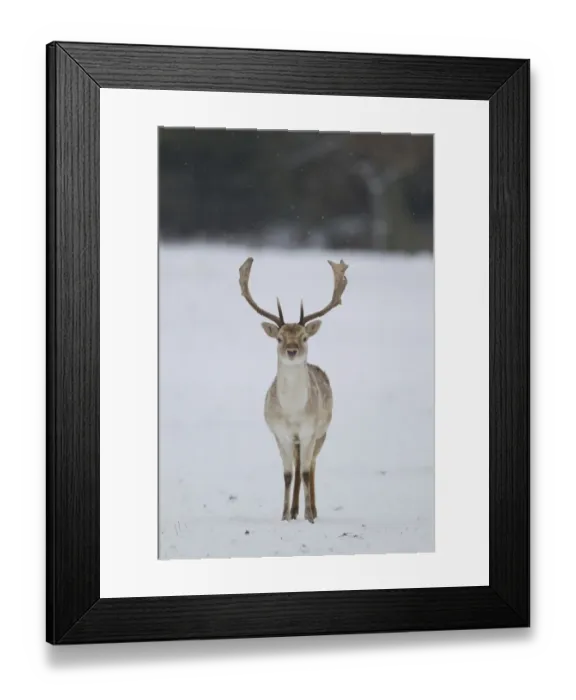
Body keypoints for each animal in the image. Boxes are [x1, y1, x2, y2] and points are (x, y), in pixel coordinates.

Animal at [238, 257, 349, 524]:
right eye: (279, 338)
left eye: (304, 337)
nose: (291, 350)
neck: (293, 414)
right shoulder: (280, 433)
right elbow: (288, 474)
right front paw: (285, 515)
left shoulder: (309, 431)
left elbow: (306, 472)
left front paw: (309, 516)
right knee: (298, 467)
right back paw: (296, 509)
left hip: (322, 432)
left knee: (312, 465)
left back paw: (312, 509)